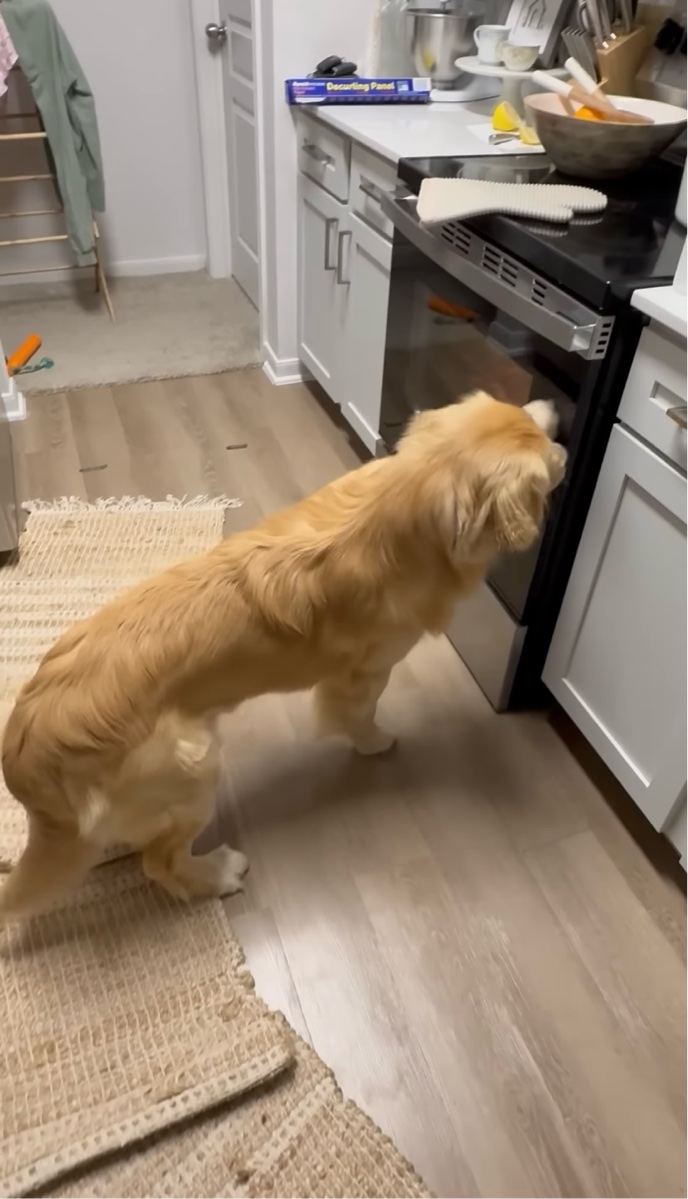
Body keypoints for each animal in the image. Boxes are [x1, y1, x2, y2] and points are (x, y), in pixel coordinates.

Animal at [0, 392, 565, 921]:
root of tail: (28, 752)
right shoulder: (367, 670)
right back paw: (218, 873)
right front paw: (375, 743)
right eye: (545, 455)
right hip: (194, 767)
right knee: (161, 862)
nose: (560, 432)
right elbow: (360, 714)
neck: (404, 499)